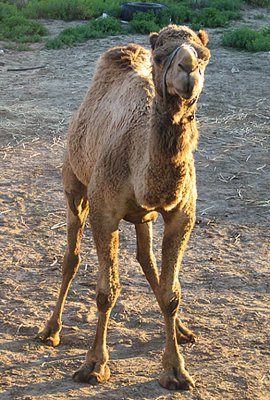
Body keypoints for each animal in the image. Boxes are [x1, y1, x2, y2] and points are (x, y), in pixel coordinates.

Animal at [38, 25, 211, 390]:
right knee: (71, 257)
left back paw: (183, 330)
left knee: (147, 260)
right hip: (74, 182)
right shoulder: (104, 211)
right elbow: (107, 291)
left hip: (143, 217)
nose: (187, 68)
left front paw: (176, 371)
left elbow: (171, 293)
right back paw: (50, 329)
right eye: (160, 57)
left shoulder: (182, 215)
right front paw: (93, 365)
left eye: (204, 56)